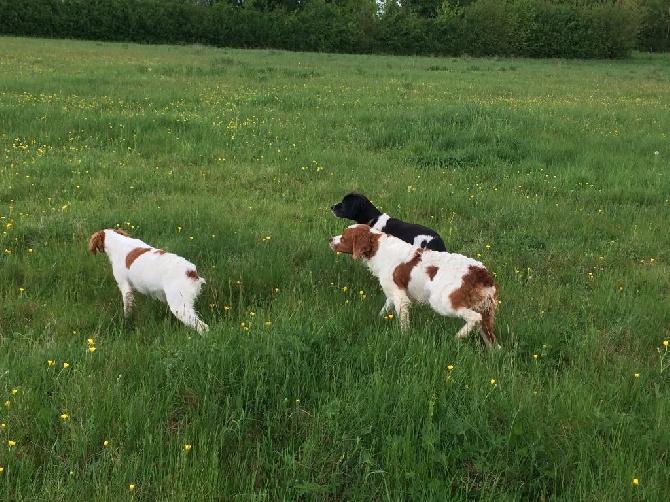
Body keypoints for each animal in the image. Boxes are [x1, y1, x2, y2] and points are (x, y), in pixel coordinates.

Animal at [328, 225, 502, 350]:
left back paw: (458, 337)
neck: (379, 248)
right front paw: (377, 320)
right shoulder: (394, 293)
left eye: (344, 236)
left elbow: (403, 322)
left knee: (474, 318)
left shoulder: (400, 297)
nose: (330, 239)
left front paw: (404, 338)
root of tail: (480, 273)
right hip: (486, 311)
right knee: (493, 341)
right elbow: (384, 309)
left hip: (443, 303)